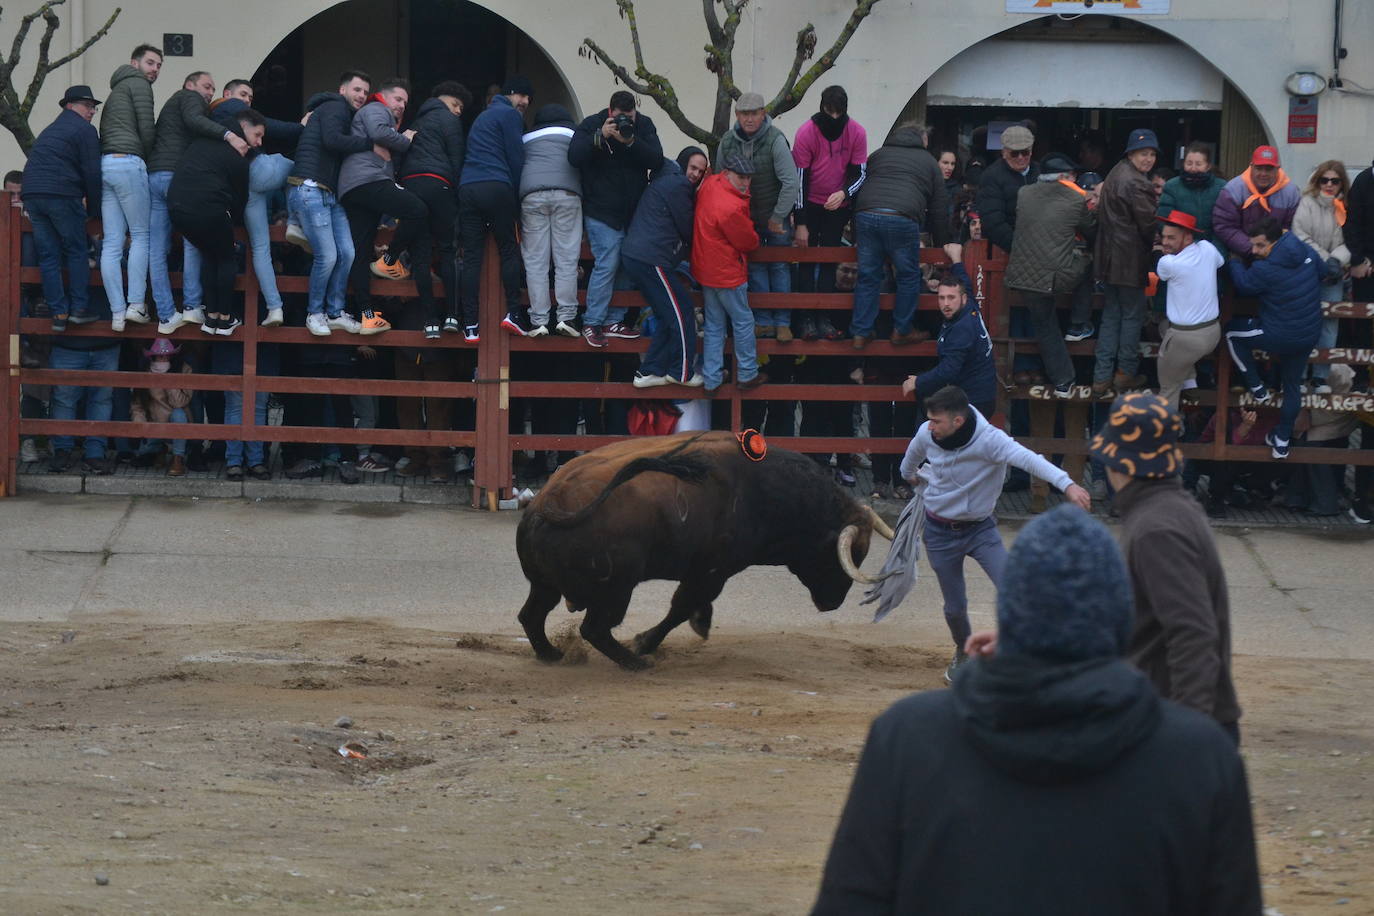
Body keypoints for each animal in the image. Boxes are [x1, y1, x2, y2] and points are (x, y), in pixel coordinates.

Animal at [513, 433, 890, 670]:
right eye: (839, 557)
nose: (833, 602)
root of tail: (545, 502)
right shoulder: (711, 571)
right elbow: (681, 607)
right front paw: (645, 642)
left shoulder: (705, 574)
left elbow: (687, 606)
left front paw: (698, 623)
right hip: (617, 588)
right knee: (594, 629)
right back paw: (636, 662)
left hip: (546, 585)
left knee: (531, 615)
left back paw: (551, 654)